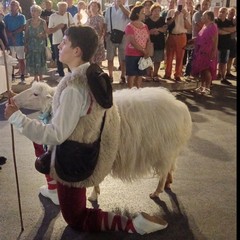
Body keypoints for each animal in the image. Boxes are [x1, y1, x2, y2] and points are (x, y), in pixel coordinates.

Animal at [14, 82, 192, 201]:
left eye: (36, 94)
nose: (13, 99)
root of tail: (180, 106)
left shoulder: (97, 154)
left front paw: (93, 195)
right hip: (170, 150)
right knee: (170, 166)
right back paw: (169, 182)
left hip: (165, 150)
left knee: (163, 172)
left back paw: (157, 191)